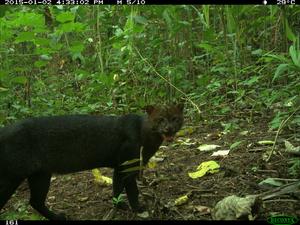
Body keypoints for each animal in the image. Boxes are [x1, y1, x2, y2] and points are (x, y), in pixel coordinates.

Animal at [0, 103, 183, 220]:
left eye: (175, 118)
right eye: (160, 119)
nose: (169, 128)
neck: (147, 135)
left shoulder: (119, 168)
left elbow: (116, 188)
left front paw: (119, 206)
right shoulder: (126, 166)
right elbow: (132, 190)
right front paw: (138, 209)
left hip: (40, 174)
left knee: (35, 201)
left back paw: (59, 217)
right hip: (11, 177)